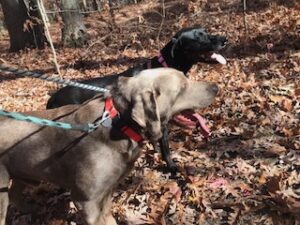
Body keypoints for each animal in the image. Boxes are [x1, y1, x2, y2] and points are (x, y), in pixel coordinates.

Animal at [0, 67, 217, 224]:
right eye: (182, 88)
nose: (216, 88)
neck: (120, 124)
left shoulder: (107, 191)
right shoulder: (86, 201)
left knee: (15, 195)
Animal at [46, 25, 227, 171]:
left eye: (206, 31)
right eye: (198, 37)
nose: (225, 39)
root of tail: (51, 99)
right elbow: (166, 150)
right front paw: (172, 168)